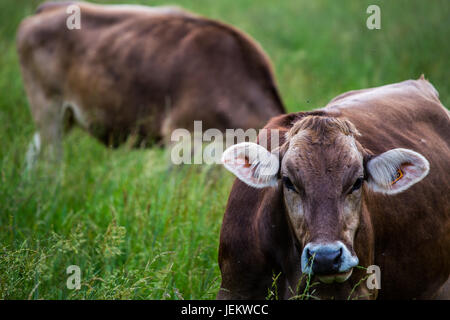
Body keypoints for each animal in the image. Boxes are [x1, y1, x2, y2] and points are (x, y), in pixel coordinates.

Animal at [17, 1, 284, 168]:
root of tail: (48, 7)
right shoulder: (181, 135)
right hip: (47, 105)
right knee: (52, 161)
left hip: (65, 116)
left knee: (33, 154)